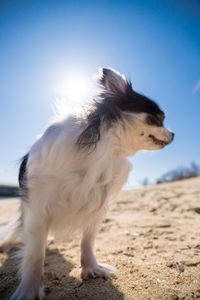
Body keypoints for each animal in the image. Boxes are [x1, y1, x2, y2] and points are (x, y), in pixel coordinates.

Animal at [0, 68, 173, 300]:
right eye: (158, 119)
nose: (174, 134)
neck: (106, 149)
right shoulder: (38, 208)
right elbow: (35, 253)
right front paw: (30, 289)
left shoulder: (97, 205)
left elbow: (88, 240)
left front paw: (92, 268)